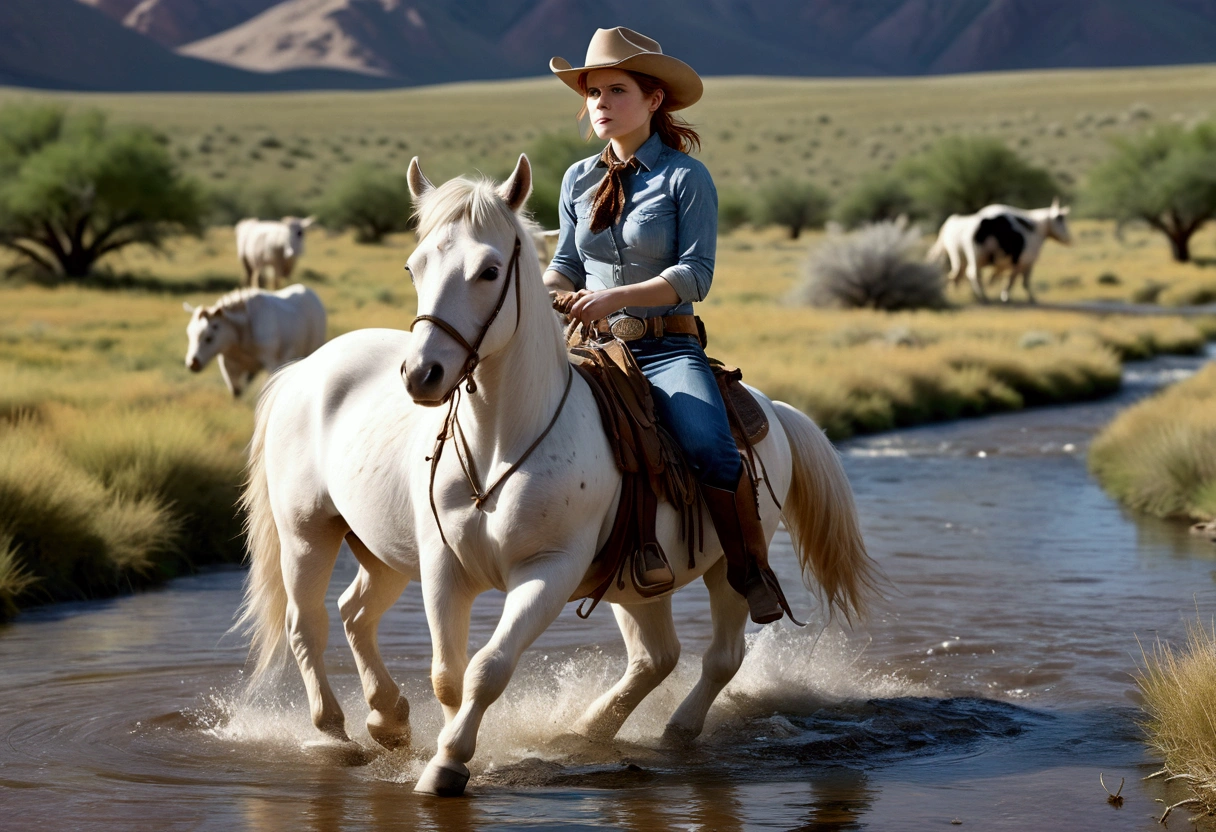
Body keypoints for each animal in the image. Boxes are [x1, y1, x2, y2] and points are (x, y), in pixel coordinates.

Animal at [179, 282, 323, 396]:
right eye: (189, 334)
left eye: (209, 338)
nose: (192, 363)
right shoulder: (228, 365)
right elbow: (237, 392)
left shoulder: (272, 362)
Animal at [237, 155, 870, 797]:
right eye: (415, 265)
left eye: (489, 270)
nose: (422, 374)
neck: (501, 446)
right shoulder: (443, 568)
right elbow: (449, 676)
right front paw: (445, 745)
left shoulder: (549, 571)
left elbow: (487, 668)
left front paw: (448, 762)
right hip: (318, 533)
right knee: (318, 621)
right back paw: (354, 728)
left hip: (716, 567)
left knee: (711, 656)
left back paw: (651, 731)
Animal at [924, 199, 1070, 304]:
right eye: (1061, 220)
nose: (1069, 239)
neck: (1035, 227)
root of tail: (953, 222)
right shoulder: (1025, 262)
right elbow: (1019, 282)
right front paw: (1013, 297)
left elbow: (1004, 277)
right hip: (974, 256)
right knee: (972, 273)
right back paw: (983, 297)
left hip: (958, 256)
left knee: (956, 274)